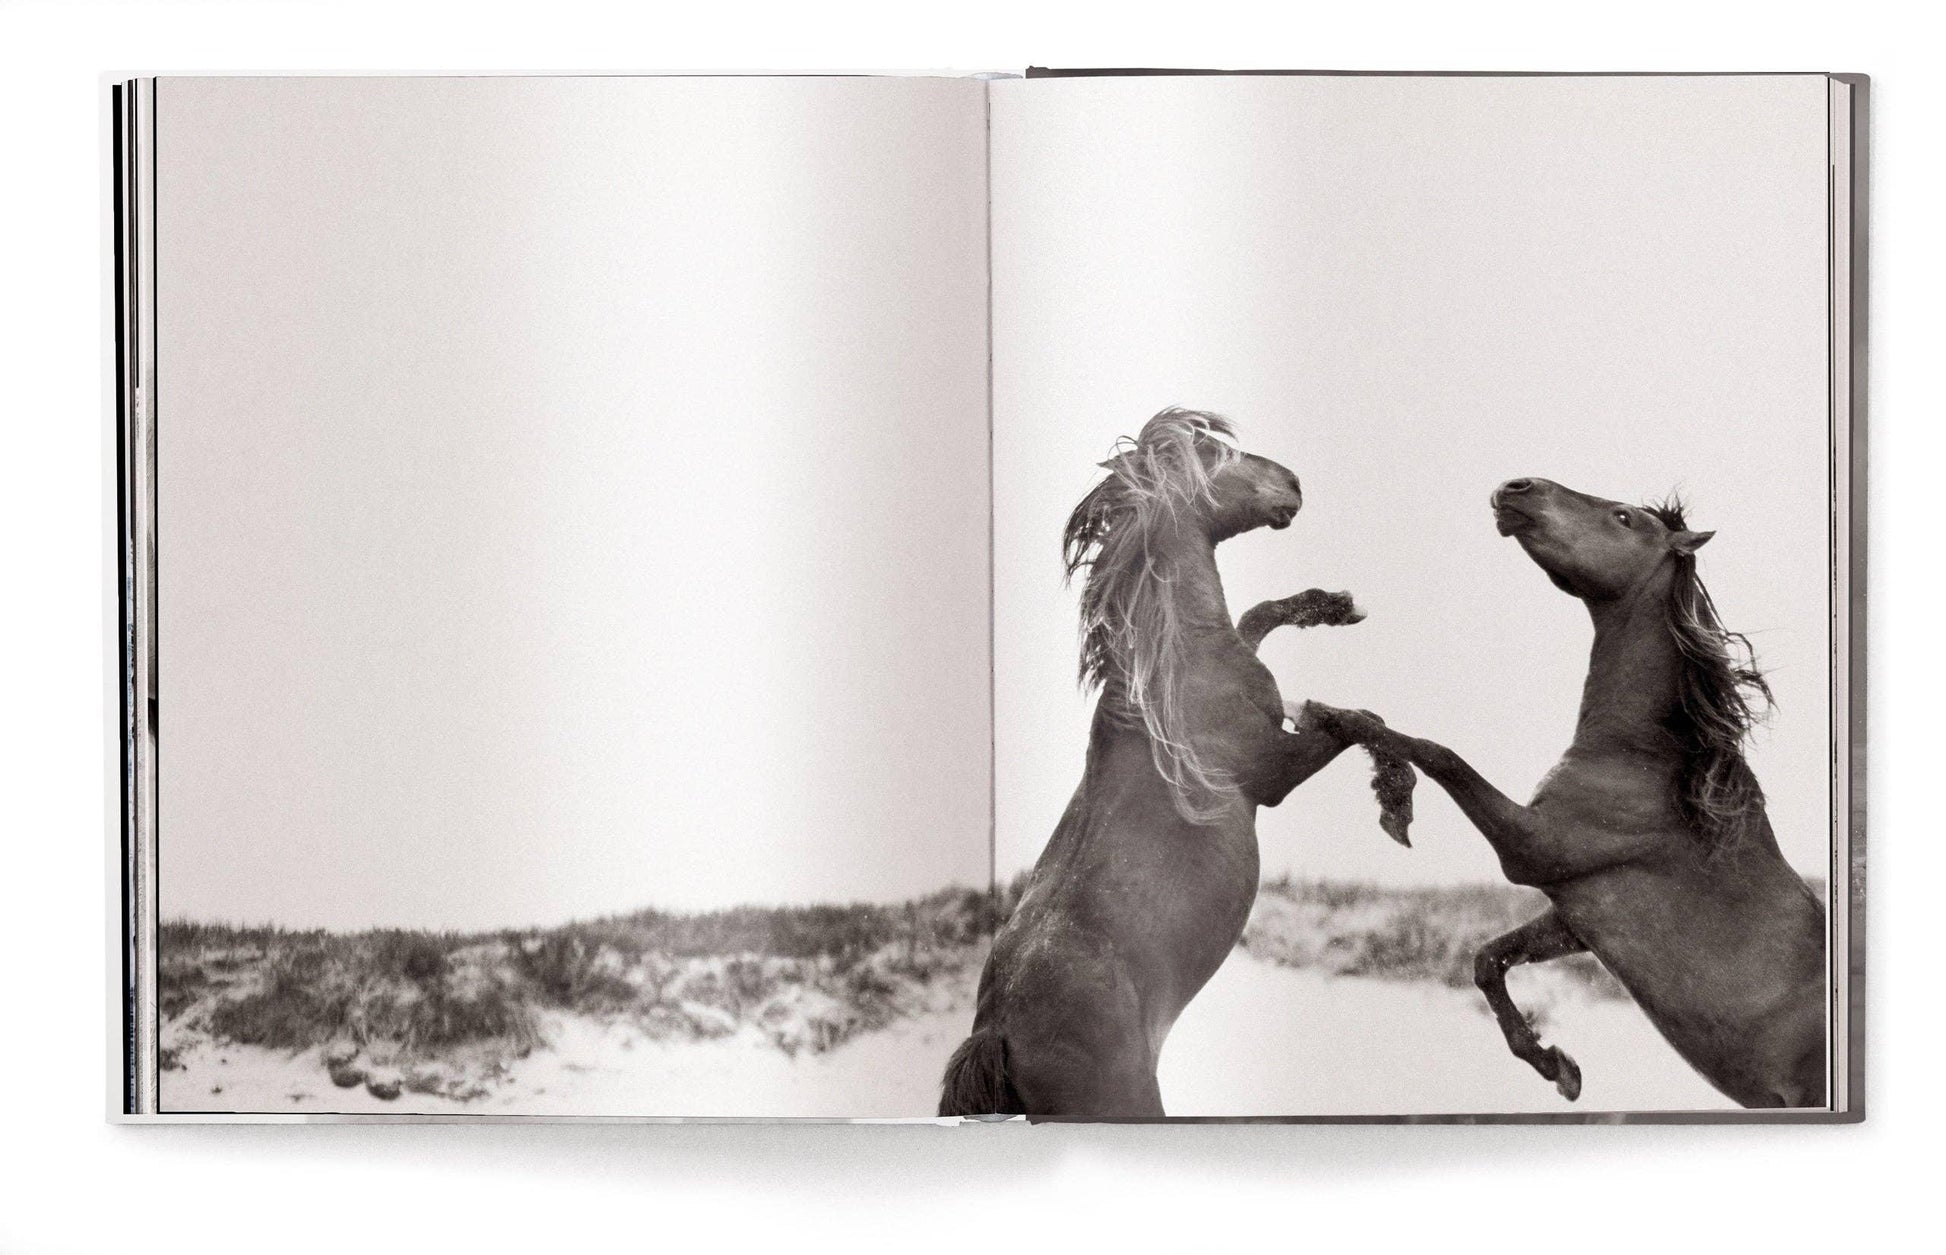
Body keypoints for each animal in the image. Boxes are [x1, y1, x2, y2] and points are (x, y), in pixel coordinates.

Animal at [938, 408, 1379, 1117]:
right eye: (1217, 455)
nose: (1294, 482)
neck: (1171, 680)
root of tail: (998, 1035)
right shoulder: (1273, 772)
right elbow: (1355, 724)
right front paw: (1394, 786)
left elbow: (1257, 616)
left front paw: (1337, 605)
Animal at [1310, 476, 1827, 1108]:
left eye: (1624, 517)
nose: (1516, 487)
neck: (1645, 760)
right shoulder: (1576, 918)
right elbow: (1487, 959)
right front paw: (1557, 1066)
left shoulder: (1533, 850)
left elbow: (1437, 752)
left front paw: (1342, 732)